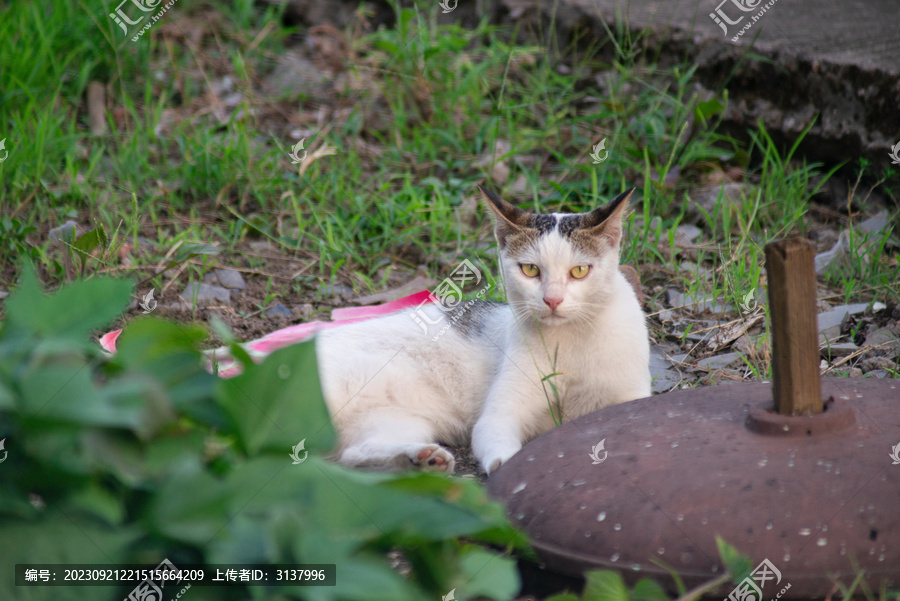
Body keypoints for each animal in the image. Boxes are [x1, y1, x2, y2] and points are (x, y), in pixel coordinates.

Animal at [314, 185, 648, 476]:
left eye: (579, 271)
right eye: (530, 270)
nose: (552, 299)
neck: (572, 340)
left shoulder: (630, 396)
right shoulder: (499, 413)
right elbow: (497, 439)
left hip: (391, 421)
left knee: (354, 455)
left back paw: (423, 460)